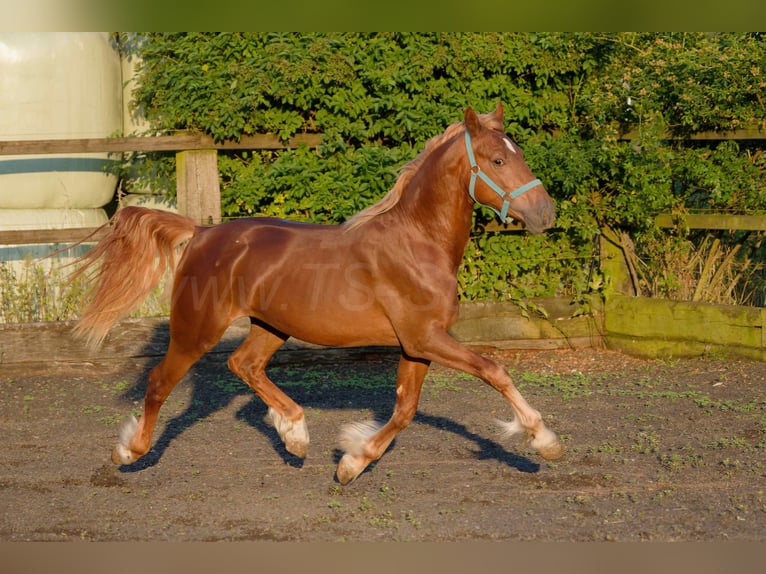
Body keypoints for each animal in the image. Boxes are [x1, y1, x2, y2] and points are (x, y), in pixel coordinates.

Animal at [70, 103, 562, 485]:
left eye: (517, 154)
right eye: (497, 161)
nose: (545, 213)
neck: (418, 241)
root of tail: (201, 232)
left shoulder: (417, 344)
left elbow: (405, 409)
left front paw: (351, 462)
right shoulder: (426, 338)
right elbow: (493, 371)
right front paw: (544, 440)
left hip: (271, 326)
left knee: (243, 365)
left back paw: (295, 434)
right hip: (197, 329)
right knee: (160, 383)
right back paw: (130, 451)